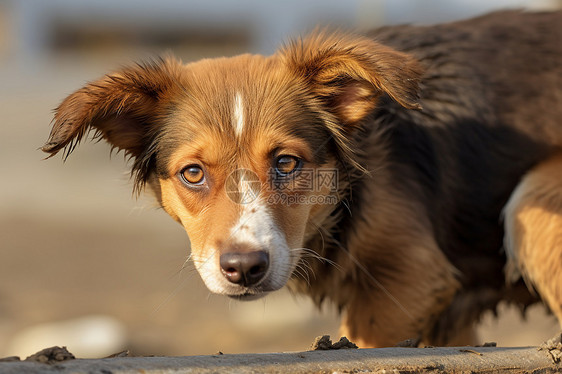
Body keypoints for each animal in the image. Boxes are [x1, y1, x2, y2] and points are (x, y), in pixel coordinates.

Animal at [43, 9, 560, 348]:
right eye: (193, 173)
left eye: (287, 163)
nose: (244, 268)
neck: (343, 198)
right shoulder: (444, 309)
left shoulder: (410, 280)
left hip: (532, 199)